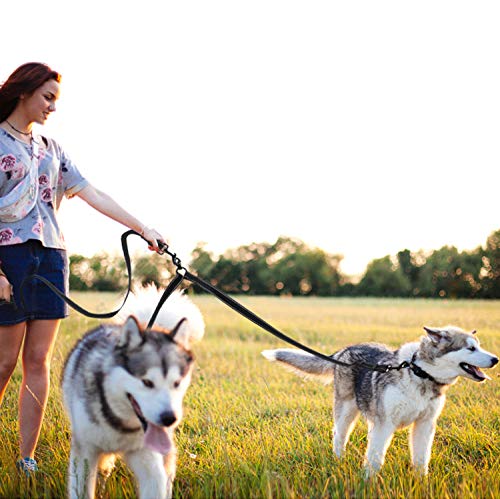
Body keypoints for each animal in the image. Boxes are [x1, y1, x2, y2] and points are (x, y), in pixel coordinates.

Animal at [62, 288, 203, 499]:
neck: (121, 425)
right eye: (147, 382)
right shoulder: (84, 453)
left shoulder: (148, 457)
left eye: (176, 383)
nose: (169, 418)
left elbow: (156, 481)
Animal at [262, 326, 496, 474]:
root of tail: (344, 350)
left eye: (479, 346)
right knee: (339, 435)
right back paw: (338, 460)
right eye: (470, 348)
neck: (420, 374)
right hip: (347, 410)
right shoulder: (386, 423)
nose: (495, 359)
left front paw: (422, 482)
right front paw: (368, 483)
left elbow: (421, 459)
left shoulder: (425, 424)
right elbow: (375, 458)